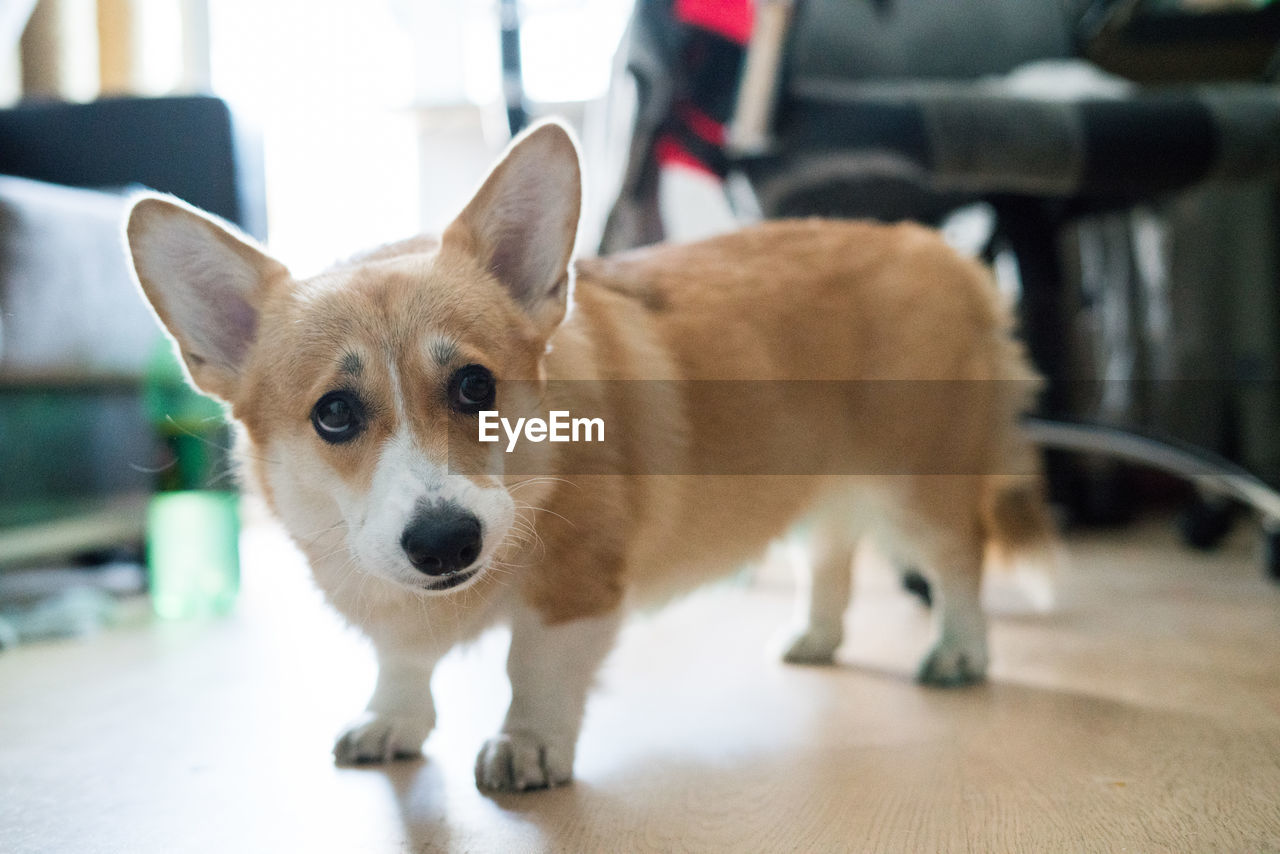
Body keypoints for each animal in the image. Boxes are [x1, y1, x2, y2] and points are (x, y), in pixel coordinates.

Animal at [124, 120, 1054, 793]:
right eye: (335, 413)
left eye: (474, 385)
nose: (445, 543)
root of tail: (946, 253)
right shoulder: (397, 608)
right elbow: (402, 663)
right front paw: (393, 719)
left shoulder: (573, 591)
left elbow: (531, 667)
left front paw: (527, 746)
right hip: (813, 483)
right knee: (830, 553)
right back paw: (813, 638)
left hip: (916, 486)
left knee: (958, 562)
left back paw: (959, 655)